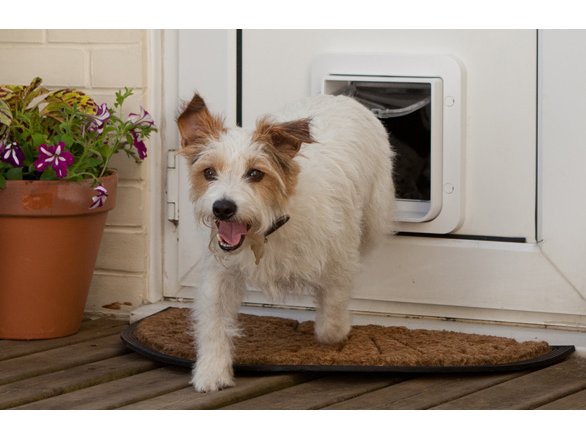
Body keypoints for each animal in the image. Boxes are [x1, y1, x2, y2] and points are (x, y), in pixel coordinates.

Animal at [177, 92, 395, 392]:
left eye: (255, 174)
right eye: (209, 172)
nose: (222, 208)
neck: (266, 230)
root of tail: (340, 96)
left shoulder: (339, 264)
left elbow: (332, 320)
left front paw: (339, 330)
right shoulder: (220, 275)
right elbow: (214, 323)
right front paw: (211, 372)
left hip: (375, 217)